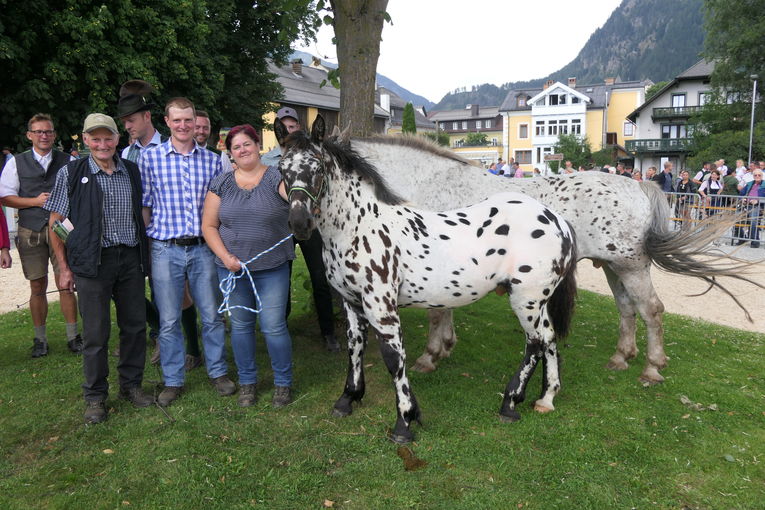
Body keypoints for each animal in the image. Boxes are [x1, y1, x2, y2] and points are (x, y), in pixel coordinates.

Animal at [278, 115, 576, 442]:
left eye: (318, 167)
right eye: (281, 169)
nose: (299, 223)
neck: (360, 226)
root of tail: (557, 219)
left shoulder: (381, 307)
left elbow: (394, 359)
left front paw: (404, 422)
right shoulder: (352, 303)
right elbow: (355, 347)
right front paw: (348, 399)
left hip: (526, 300)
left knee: (535, 343)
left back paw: (510, 403)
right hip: (538, 301)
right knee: (549, 337)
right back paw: (546, 397)